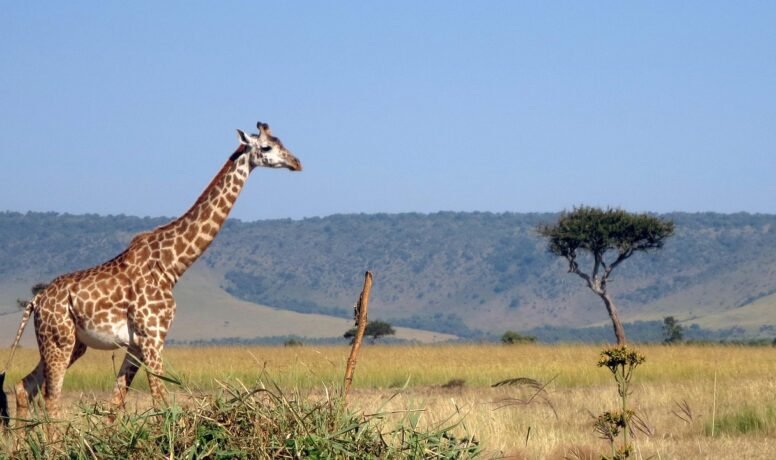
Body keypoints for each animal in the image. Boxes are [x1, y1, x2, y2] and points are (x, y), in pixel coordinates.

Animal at [0, 122, 302, 424]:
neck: (172, 265)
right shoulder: (153, 336)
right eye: (266, 147)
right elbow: (161, 401)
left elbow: (116, 404)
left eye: (282, 141)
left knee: (24, 386)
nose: (296, 163)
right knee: (51, 397)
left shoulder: (135, 343)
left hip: (72, 343)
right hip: (58, 340)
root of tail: (36, 301)